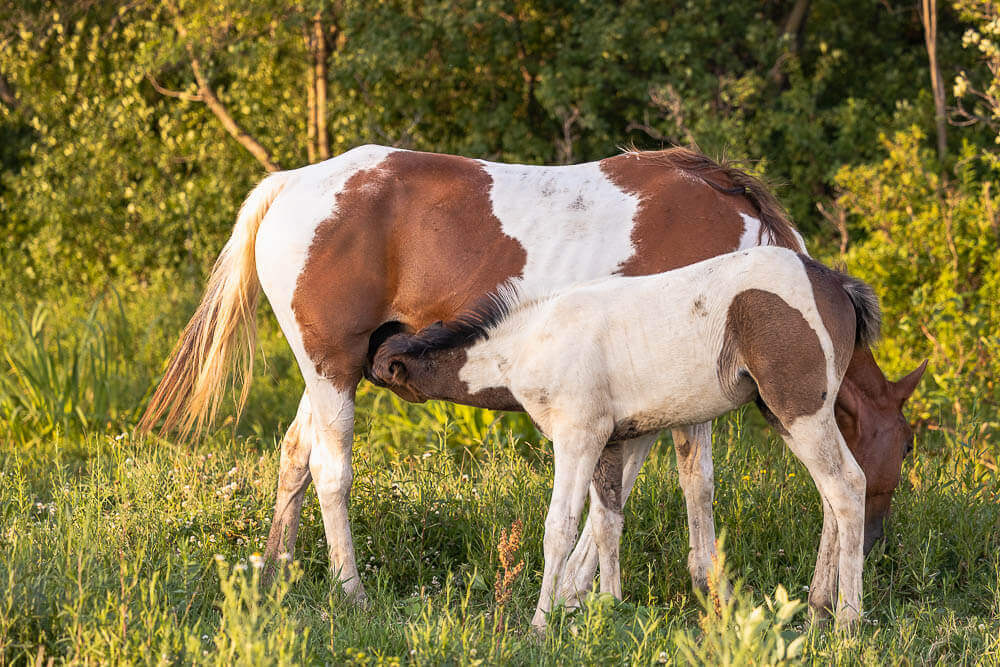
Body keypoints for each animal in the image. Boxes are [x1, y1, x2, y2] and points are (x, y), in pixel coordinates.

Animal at [369, 246, 883, 629]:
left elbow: (560, 527)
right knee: (830, 496)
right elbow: (607, 523)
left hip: (802, 410)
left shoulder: (578, 437)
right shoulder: (611, 441)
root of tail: (838, 284)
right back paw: (816, 610)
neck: (530, 344)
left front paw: (540, 625)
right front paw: (609, 608)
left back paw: (848, 620)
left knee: (848, 486)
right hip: (781, 414)